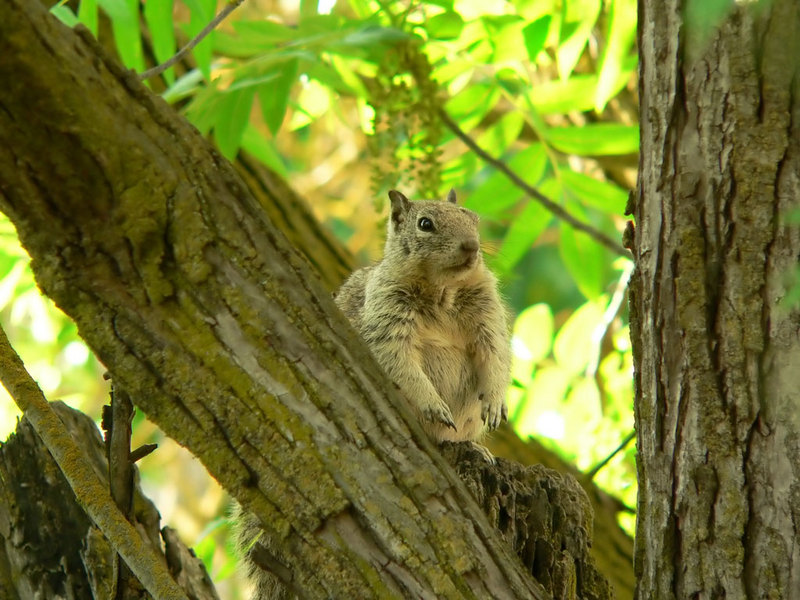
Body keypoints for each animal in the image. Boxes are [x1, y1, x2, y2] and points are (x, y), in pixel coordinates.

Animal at [334, 190, 510, 458]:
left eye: (474, 219)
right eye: (425, 224)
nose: (472, 246)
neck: (442, 289)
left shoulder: (488, 314)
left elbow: (495, 355)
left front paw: (495, 401)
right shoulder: (386, 314)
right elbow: (398, 361)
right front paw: (433, 404)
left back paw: (476, 448)